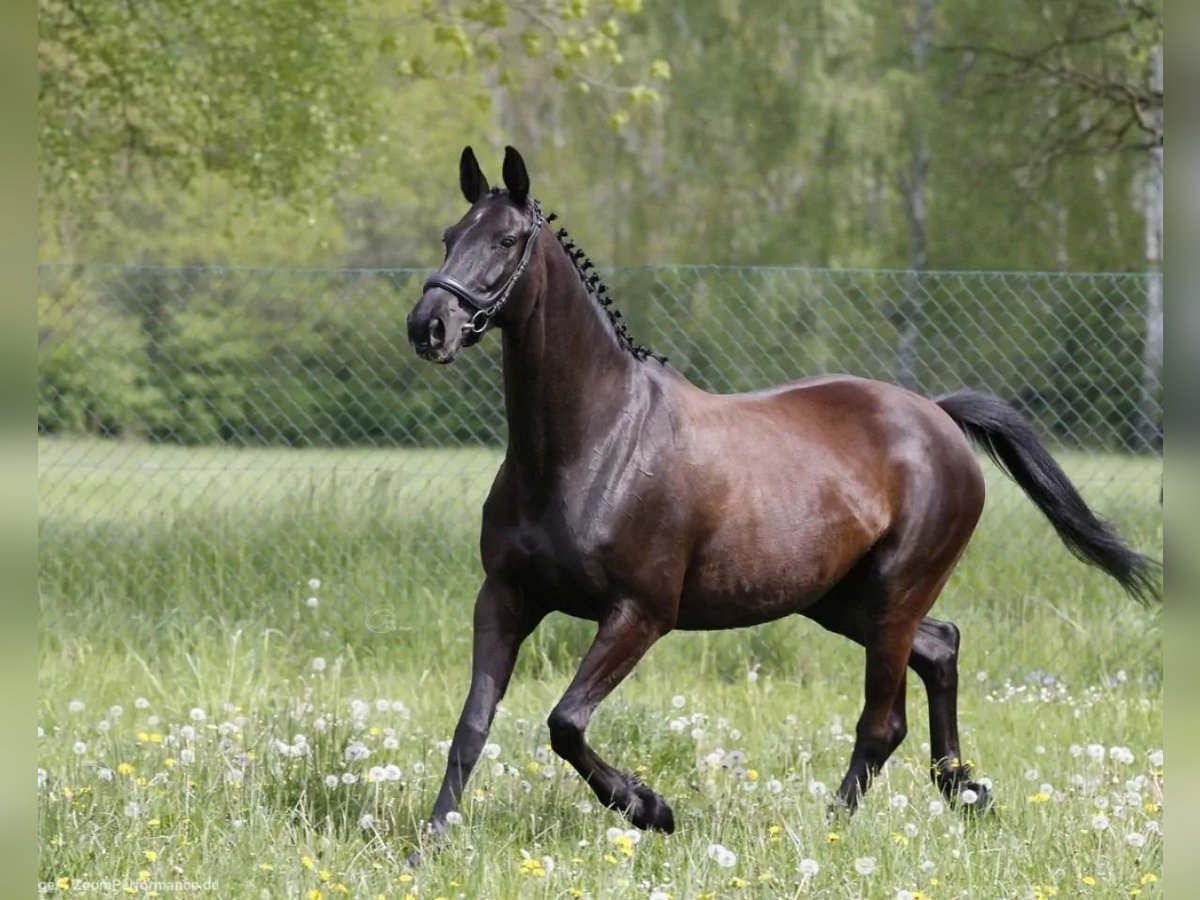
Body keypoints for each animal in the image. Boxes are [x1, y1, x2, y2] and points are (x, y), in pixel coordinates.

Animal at [405, 145, 1159, 855]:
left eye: (507, 240)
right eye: (449, 236)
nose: (429, 326)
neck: (593, 444)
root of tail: (939, 416)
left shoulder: (640, 613)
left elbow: (565, 722)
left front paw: (652, 808)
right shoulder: (505, 598)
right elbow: (472, 724)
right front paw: (432, 844)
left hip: (892, 597)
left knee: (883, 721)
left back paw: (834, 830)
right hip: (843, 601)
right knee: (941, 647)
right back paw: (964, 791)